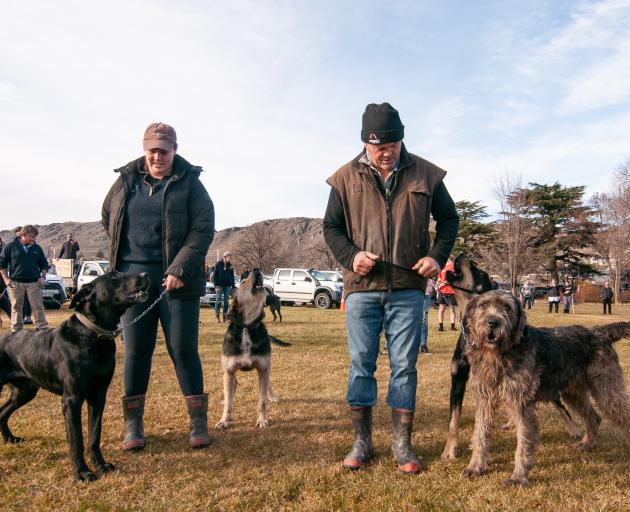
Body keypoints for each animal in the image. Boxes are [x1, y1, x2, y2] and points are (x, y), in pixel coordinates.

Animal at [0, 272, 150, 480]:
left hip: (24, 392)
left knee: (2, 412)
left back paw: (10, 439)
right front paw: (82, 472)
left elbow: (94, 435)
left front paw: (101, 465)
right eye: (114, 276)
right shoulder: (72, 399)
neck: (93, 335)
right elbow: (77, 439)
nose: (146, 274)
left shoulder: (98, 396)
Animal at [462, 290, 630, 486]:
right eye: (483, 305)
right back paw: (587, 444)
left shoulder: (521, 404)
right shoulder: (485, 401)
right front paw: (475, 467)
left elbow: (523, 443)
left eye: (507, 307)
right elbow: (480, 435)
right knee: (593, 417)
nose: (493, 323)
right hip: (574, 394)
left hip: (607, 391)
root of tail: (599, 332)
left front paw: (518, 477)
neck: (500, 355)